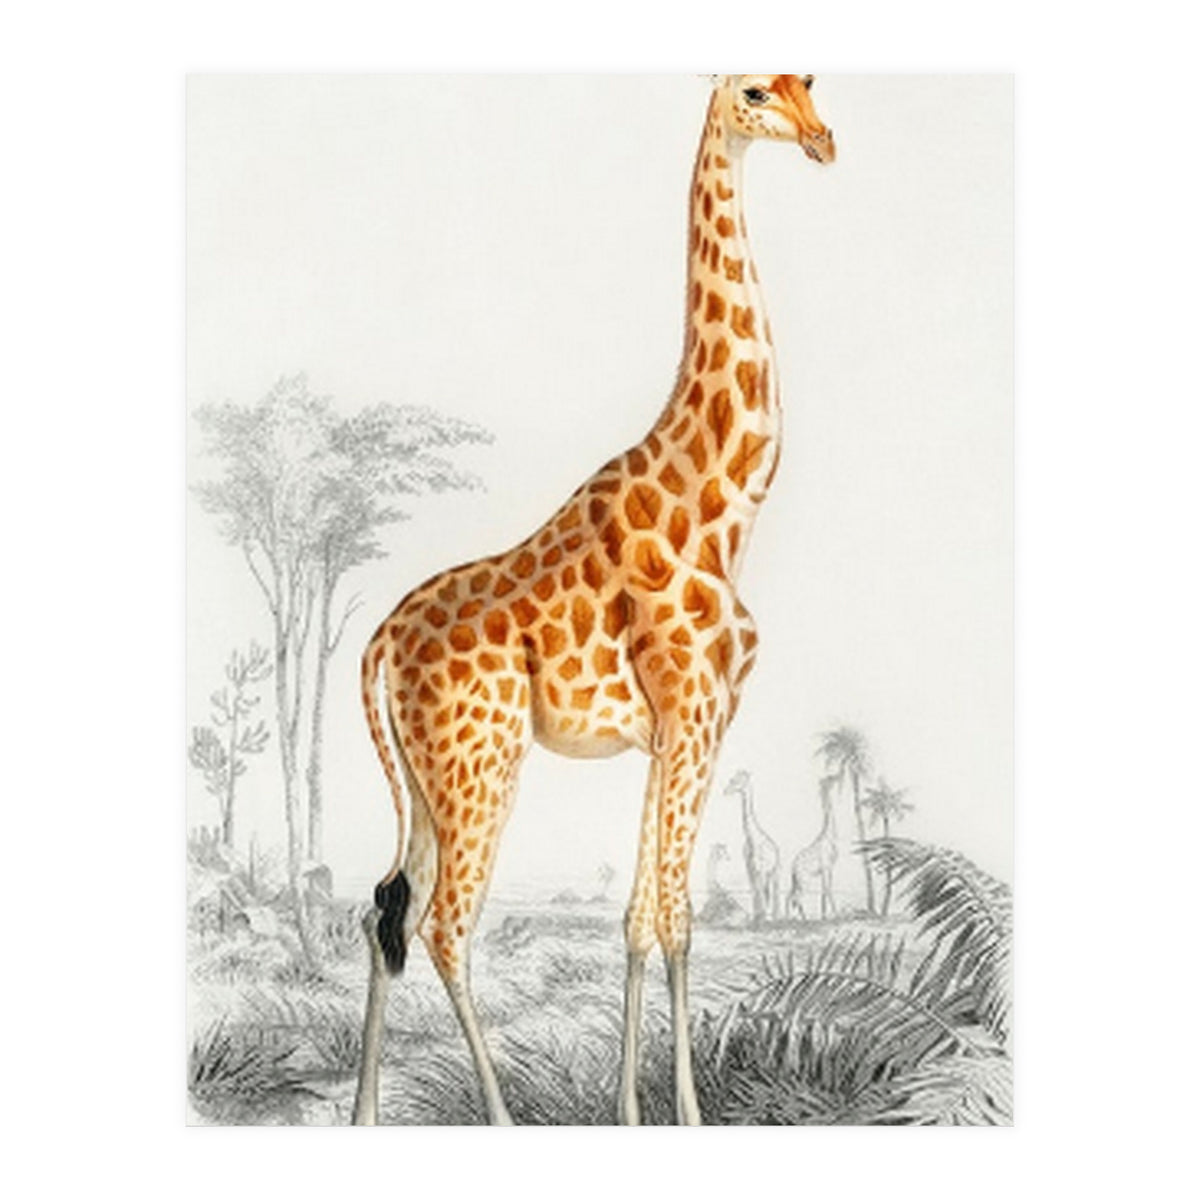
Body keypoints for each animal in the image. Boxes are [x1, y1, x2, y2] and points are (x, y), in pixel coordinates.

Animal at [723, 768, 780, 924]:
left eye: (739, 780)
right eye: (731, 779)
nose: (725, 791)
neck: (752, 838)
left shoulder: (761, 868)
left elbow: (761, 891)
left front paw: (764, 918)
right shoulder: (750, 868)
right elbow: (754, 889)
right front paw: (757, 917)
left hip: (774, 871)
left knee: (773, 890)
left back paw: (775, 916)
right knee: (764, 890)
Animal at [788, 773, 839, 921]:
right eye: (830, 779)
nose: (838, 776)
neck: (829, 835)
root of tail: (793, 868)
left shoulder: (827, 869)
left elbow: (824, 890)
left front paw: (824, 916)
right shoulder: (827, 866)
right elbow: (828, 889)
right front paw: (835, 914)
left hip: (796, 881)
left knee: (790, 896)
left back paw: (788, 917)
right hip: (804, 880)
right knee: (798, 897)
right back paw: (803, 919)